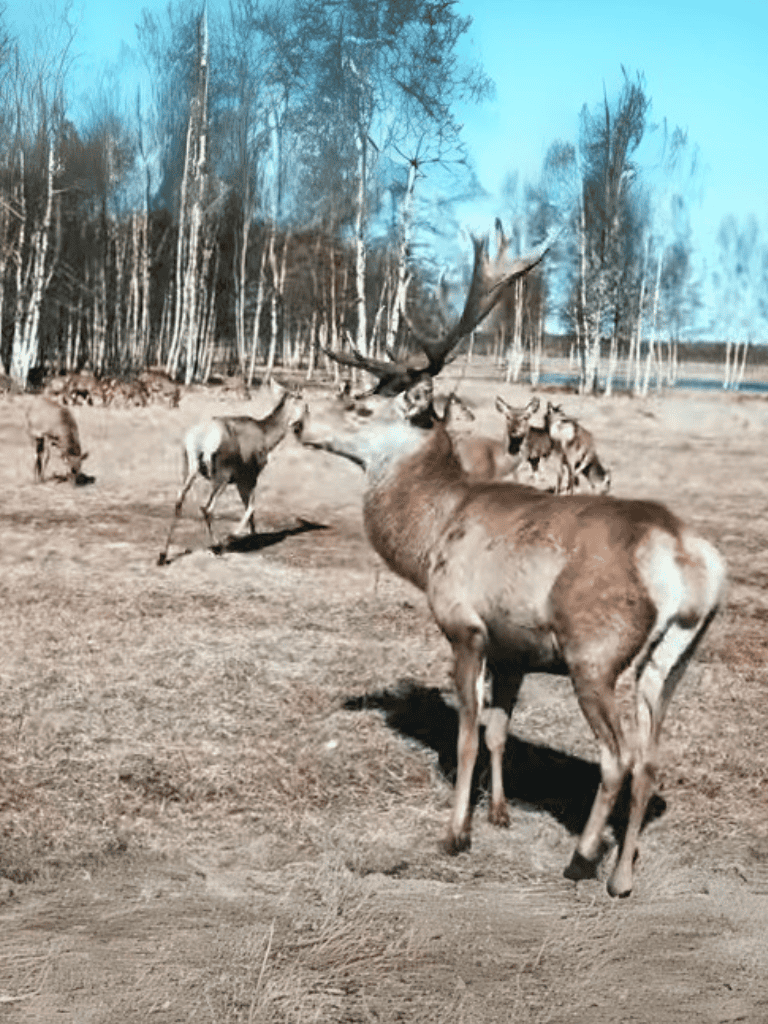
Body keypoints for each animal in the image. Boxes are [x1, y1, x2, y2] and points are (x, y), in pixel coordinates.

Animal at [158, 384, 307, 564]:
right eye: (306, 406)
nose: (300, 429)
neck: (266, 437)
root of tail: (200, 441)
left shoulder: (241, 479)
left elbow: (250, 509)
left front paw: (254, 538)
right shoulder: (248, 476)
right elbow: (251, 507)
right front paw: (235, 537)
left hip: (189, 469)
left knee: (179, 501)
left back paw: (163, 555)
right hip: (222, 476)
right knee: (207, 508)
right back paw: (217, 546)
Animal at [303, 228, 725, 897]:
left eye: (364, 409)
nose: (299, 419)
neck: (429, 536)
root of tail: (688, 560)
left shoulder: (466, 625)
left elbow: (468, 735)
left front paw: (456, 833)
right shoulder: (514, 648)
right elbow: (500, 731)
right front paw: (499, 813)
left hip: (595, 651)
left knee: (619, 757)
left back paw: (582, 858)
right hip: (674, 659)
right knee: (652, 760)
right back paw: (622, 877)